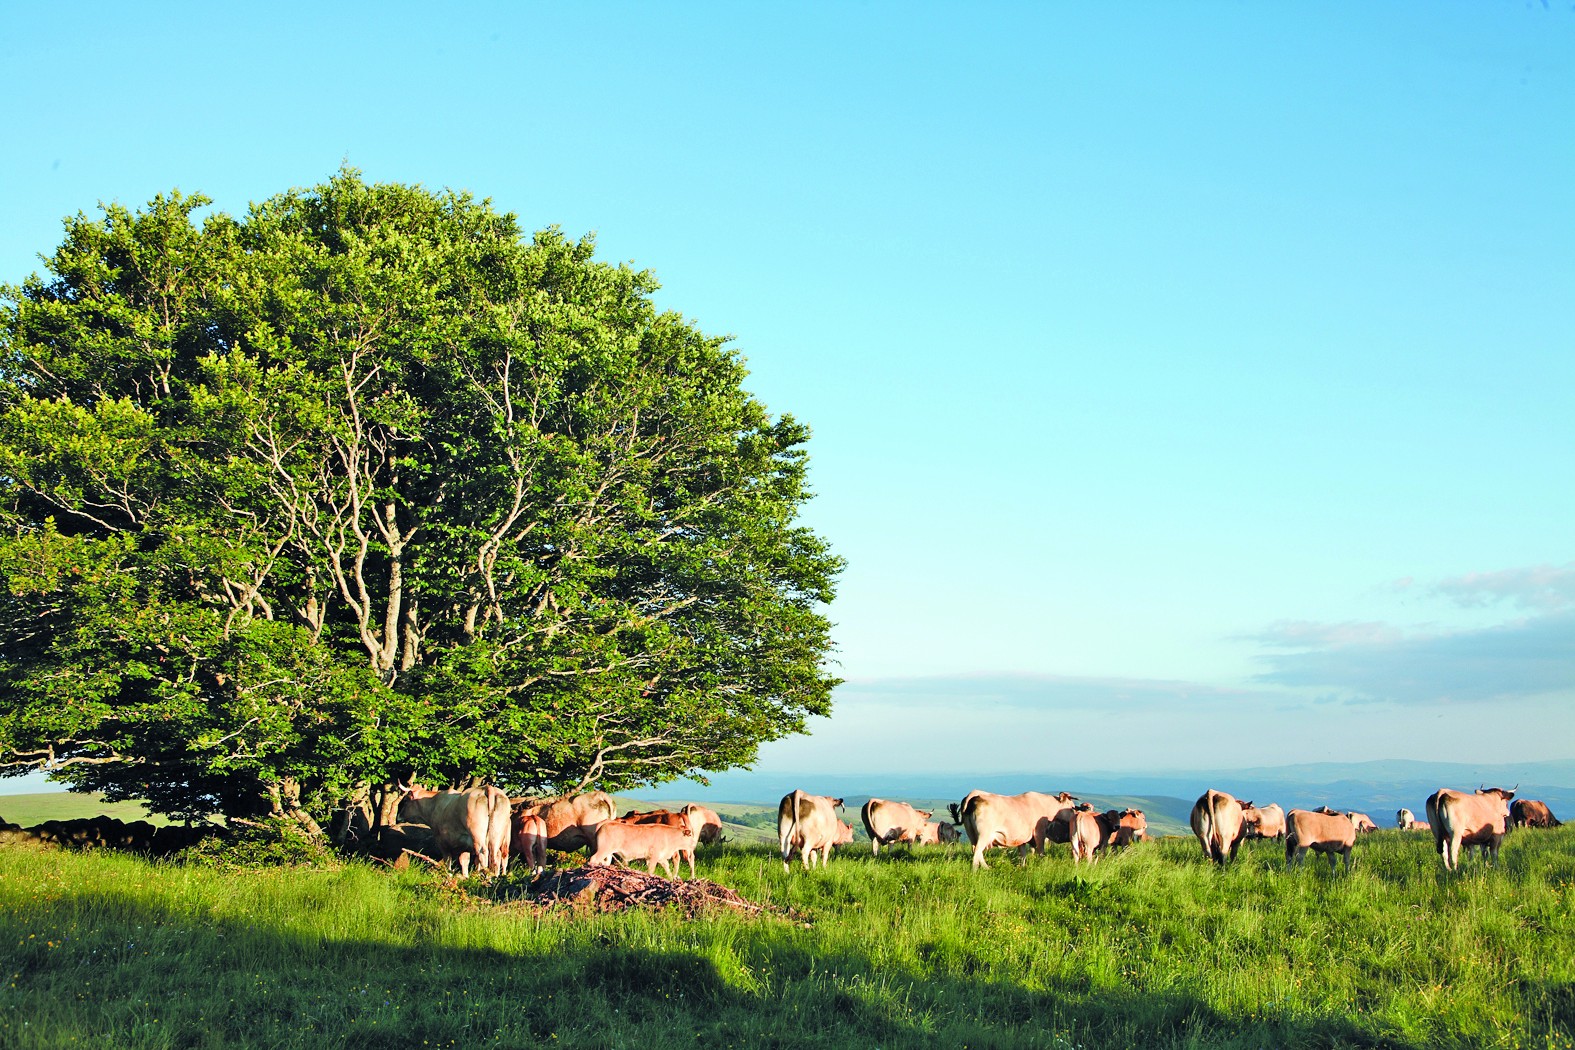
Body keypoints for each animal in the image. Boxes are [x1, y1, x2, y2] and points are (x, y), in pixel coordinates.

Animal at [945, 787, 1083, 868]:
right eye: (1072, 807)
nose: (1075, 813)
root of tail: (973, 797)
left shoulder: (1021, 837)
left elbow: (1023, 854)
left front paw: (1023, 867)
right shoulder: (1039, 833)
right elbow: (1040, 851)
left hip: (971, 834)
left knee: (976, 852)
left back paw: (986, 868)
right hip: (984, 834)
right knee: (977, 852)